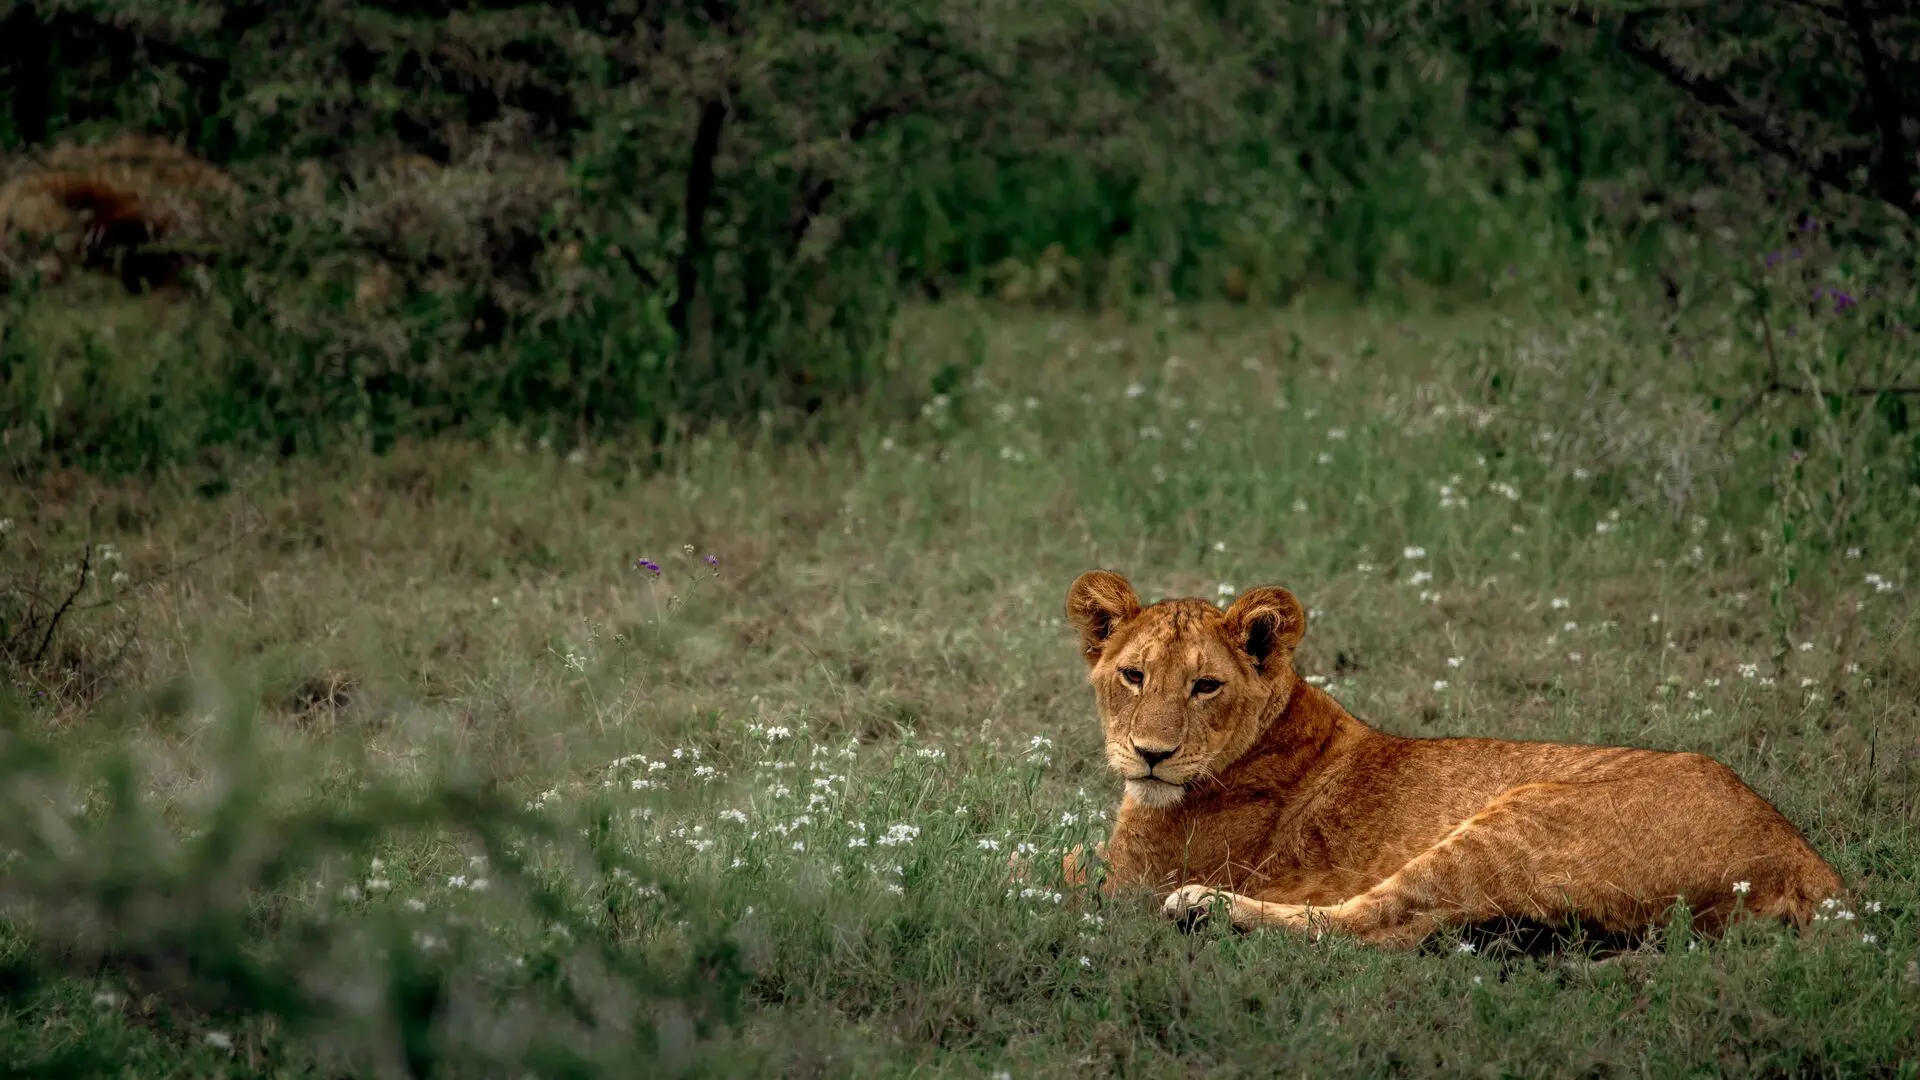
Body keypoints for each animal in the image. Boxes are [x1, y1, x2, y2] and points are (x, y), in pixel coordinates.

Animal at [1062, 569, 1844, 949]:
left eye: (1206, 686)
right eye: (1133, 676)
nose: (1151, 754)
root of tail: (1808, 863)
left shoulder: (1130, 881)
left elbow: (1045, 870)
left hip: (1516, 821)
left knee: (1374, 929)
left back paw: (1205, 911)